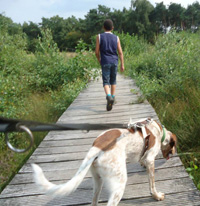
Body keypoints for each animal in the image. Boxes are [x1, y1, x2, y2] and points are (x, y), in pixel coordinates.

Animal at [31, 118, 177, 205]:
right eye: (173, 146)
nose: (174, 152)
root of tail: (97, 147)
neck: (157, 130)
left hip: (98, 182)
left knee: (94, 201)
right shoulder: (150, 160)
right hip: (119, 184)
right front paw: (156, 196)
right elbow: (152, 185)